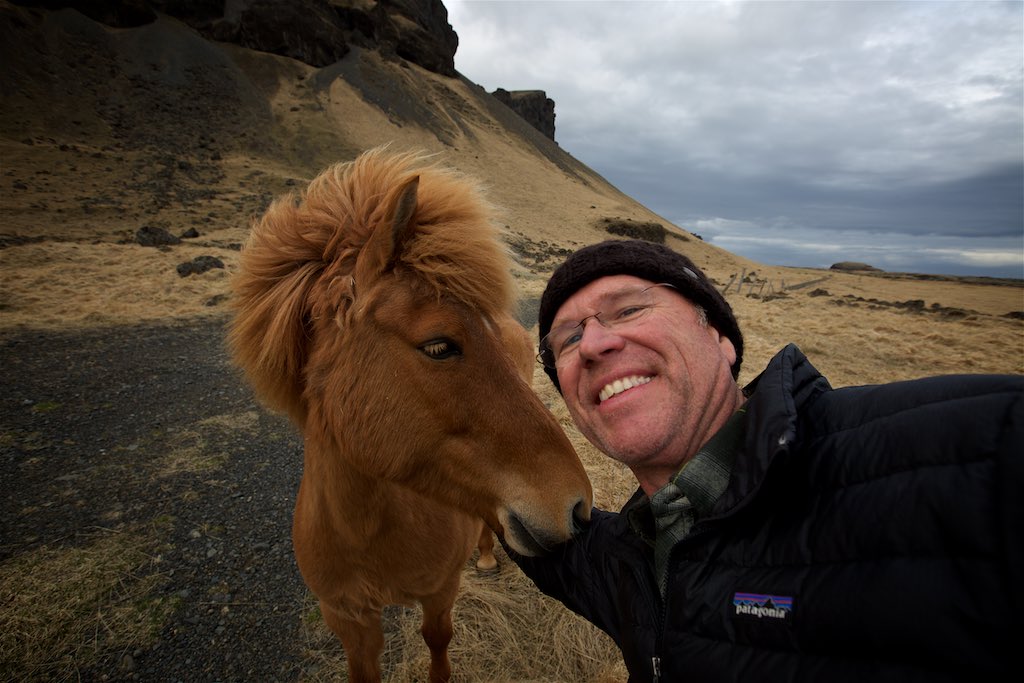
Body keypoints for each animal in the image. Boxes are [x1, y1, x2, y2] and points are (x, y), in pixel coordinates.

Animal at [227, 148, 589, 679]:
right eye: (438, 345)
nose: (579, 506)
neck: (365, 532)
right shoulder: (348, 618)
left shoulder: (439, 592)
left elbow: (437, 640)